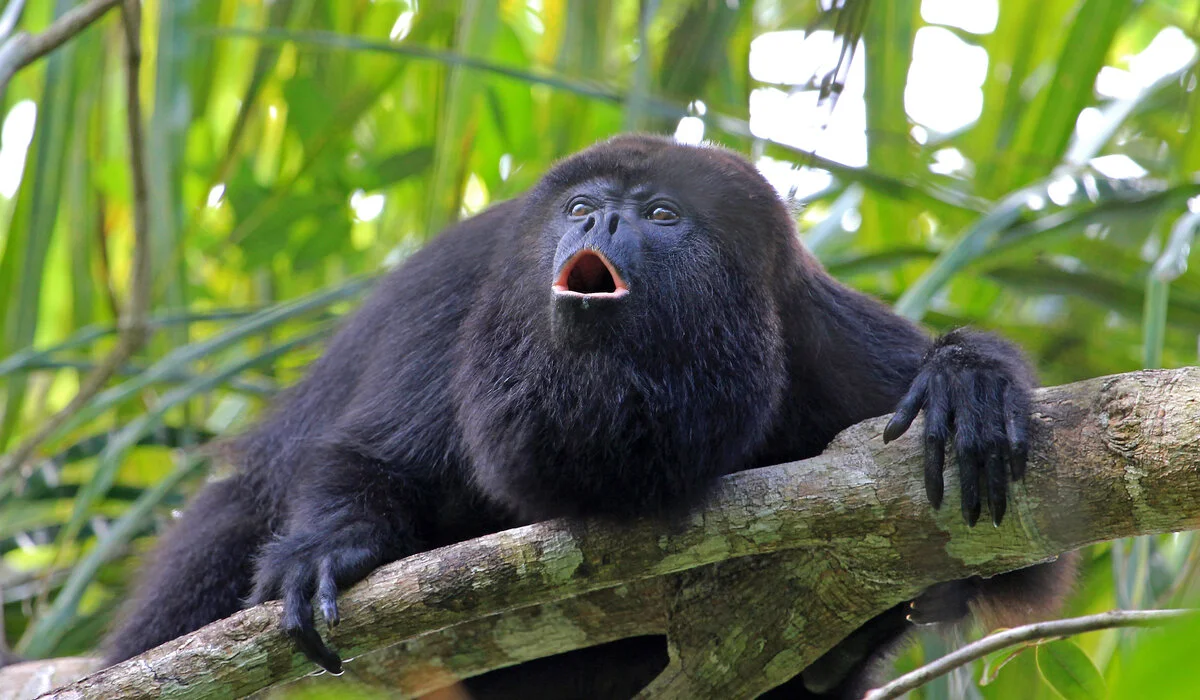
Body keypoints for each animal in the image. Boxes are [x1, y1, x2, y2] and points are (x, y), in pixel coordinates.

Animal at [102, 135, 1074, 698]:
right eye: (579, 207)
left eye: (661, 213)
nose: (600, 221)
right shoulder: (465, 293)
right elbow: (373, 458)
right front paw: (326, 551)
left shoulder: (819, 336)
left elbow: (1020, 559)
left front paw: (967, 382)